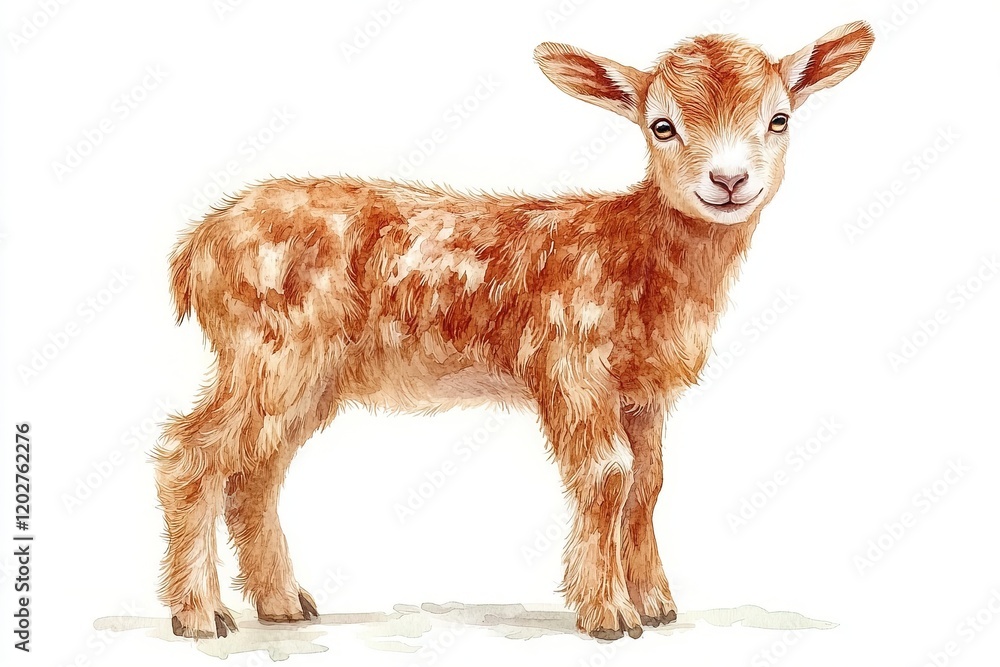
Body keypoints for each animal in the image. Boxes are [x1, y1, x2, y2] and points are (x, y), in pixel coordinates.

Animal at [156, 22, 874, 640]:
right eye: (662, 126)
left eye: (779, 119)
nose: (728, 181)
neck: (635, 251)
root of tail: (198, 243)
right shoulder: (573, 368)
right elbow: (608, 477)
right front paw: (608, 613)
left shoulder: (644, 393)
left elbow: (648, 484)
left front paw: (656, 603)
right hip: (269, 353)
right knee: (191, 455)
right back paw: (200, 614)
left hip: (309, 376)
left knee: (256, 474)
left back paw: (281, 603)